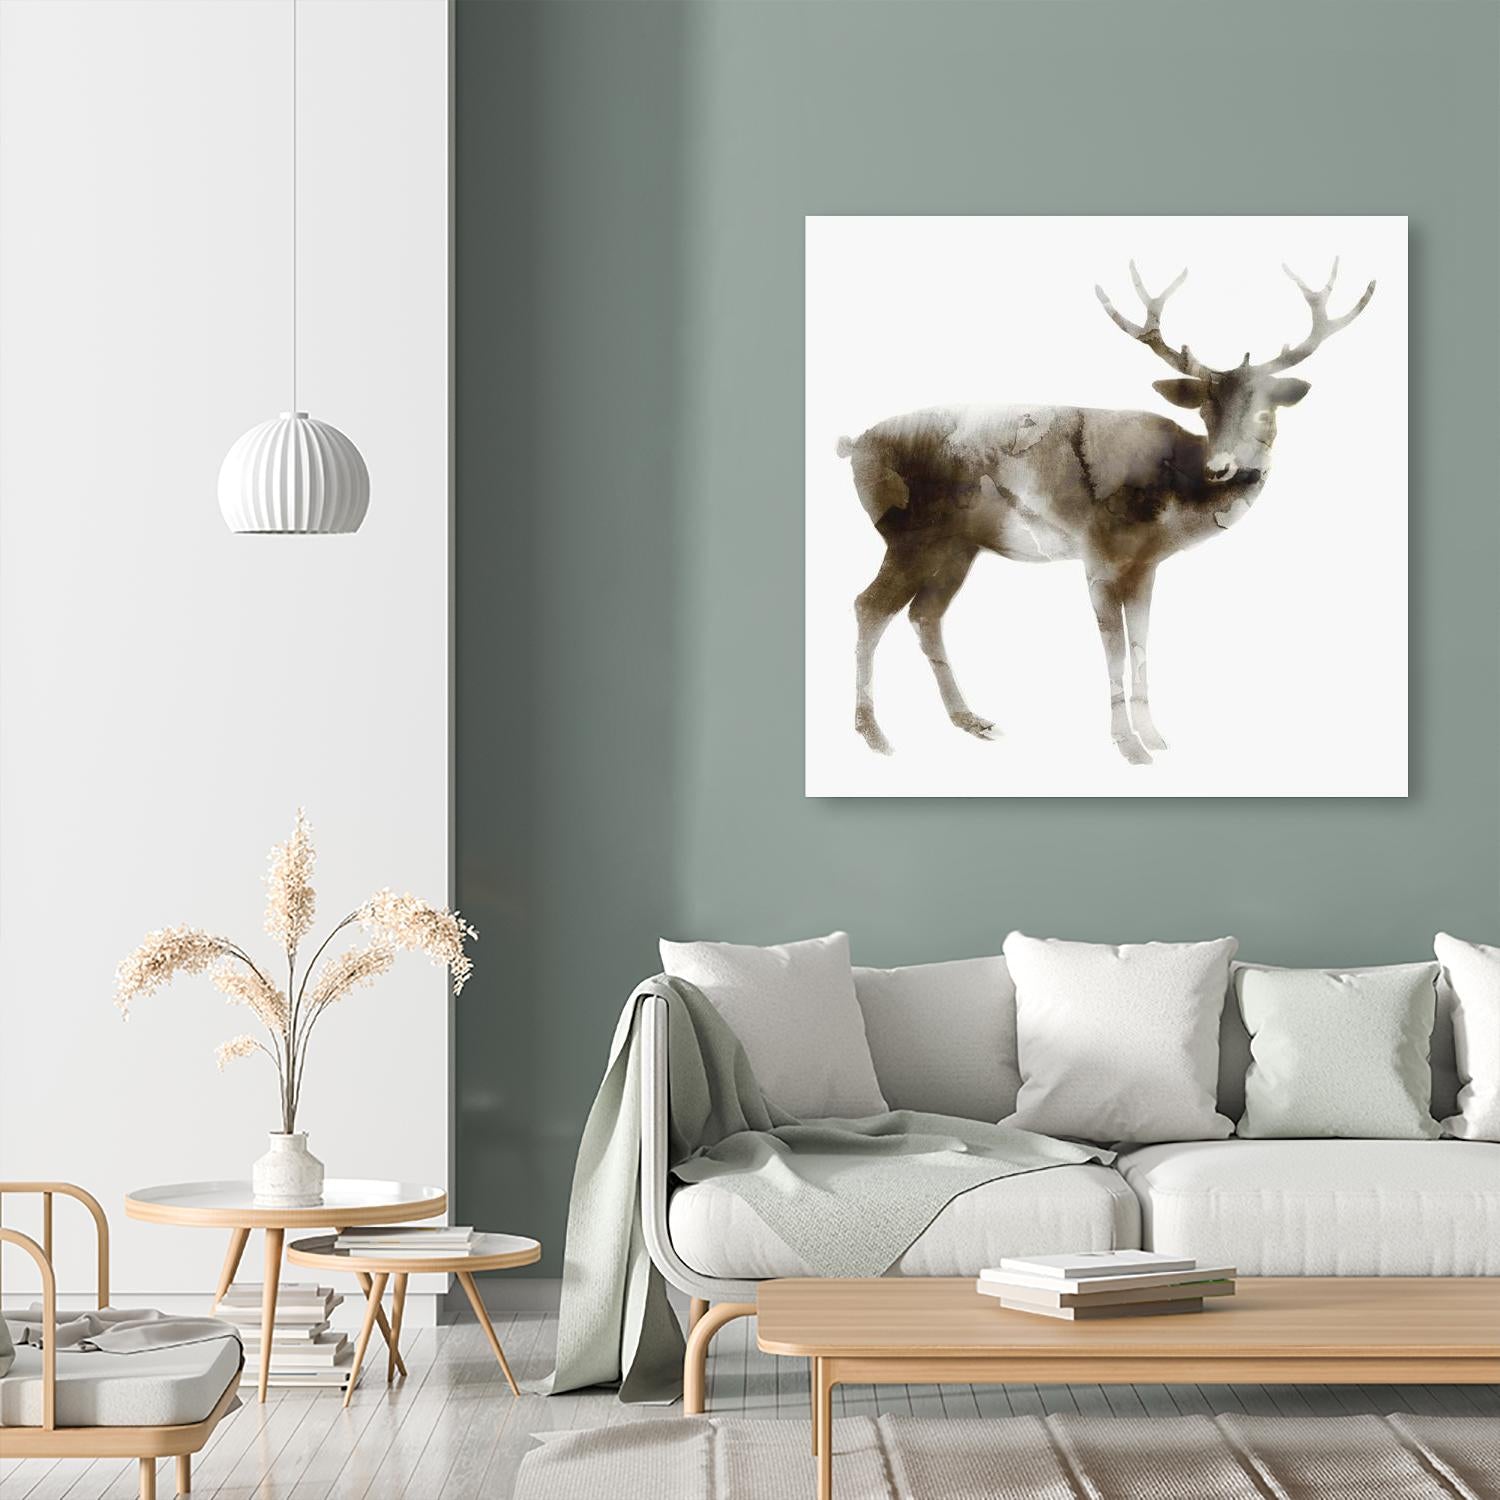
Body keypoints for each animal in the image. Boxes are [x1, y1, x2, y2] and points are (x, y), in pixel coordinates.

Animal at [838, 259, 1375, 764]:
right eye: (1205, 410)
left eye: (1266, 411)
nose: (1222, 467)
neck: (1172, 503)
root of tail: (853, 445)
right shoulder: (1097, 555)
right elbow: (1114, 649)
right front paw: (1128, 745)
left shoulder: (1145, 566)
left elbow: (1140, 645)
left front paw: (1155, 737)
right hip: (909, 535)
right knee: (869, 606)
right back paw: (874, 734)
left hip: (957, 547)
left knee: (925, 615)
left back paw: (971, 720)